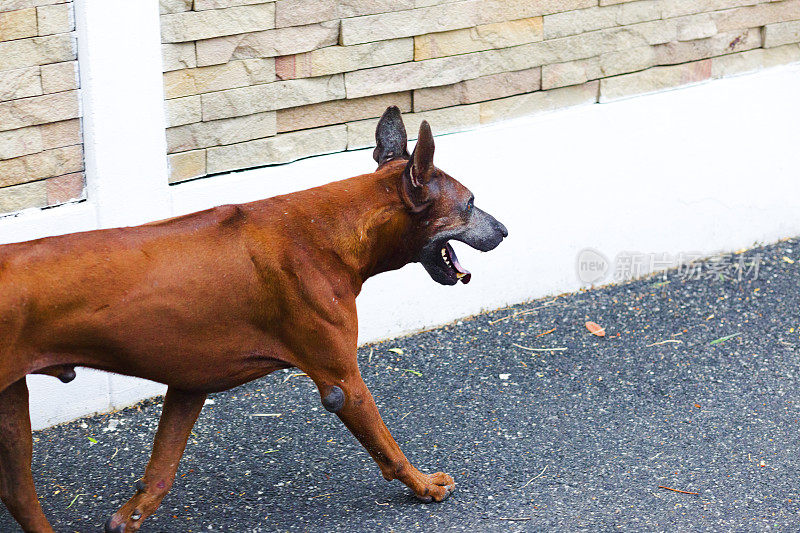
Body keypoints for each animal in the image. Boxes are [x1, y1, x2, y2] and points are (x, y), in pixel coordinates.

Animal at [0, 106, 506, 528]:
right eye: (469, 203)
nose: (504, 230)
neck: (330, 231)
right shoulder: (343, 383)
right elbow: (389, 448)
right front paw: (424, 487)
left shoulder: (189, 385)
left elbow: (160, 471)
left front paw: (130, 516)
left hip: (12, 408)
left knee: (18, 494)